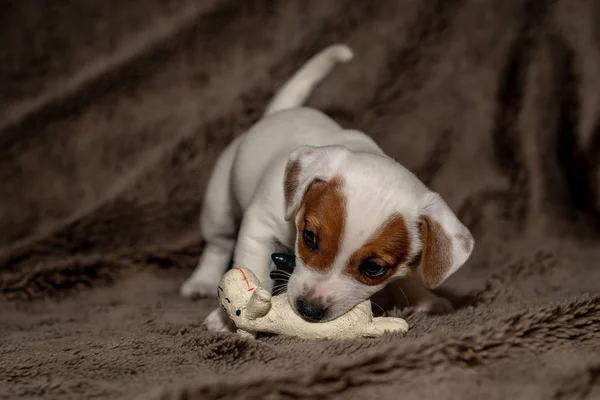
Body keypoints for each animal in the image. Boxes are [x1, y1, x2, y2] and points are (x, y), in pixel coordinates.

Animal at [180, 43, 476, 332]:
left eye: (373, 268)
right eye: (309, 237)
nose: (308, 310)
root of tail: (278, 113)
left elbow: (409, 275)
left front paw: (424, 299)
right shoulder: (259, 228)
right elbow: (252, 266)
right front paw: (227, 318)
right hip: (219, 204)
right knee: (218, 244)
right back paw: (202, 281)